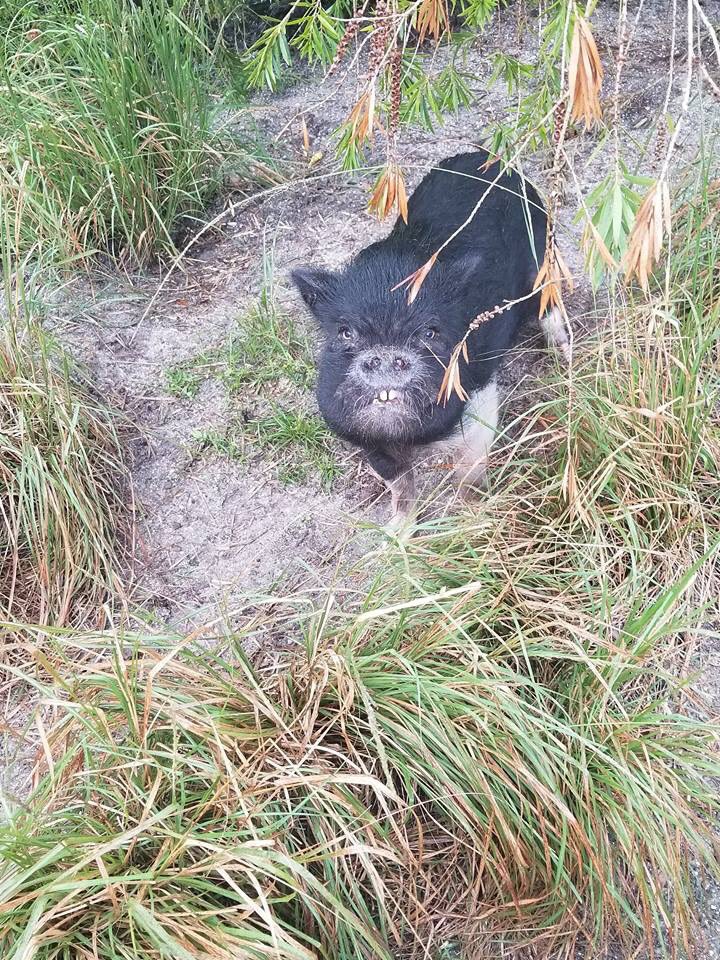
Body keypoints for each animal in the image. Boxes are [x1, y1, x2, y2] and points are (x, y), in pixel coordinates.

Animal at [292, 149, 568, 530]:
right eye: (346, 332)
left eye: (429, 331)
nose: (385, 353)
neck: (412, 439)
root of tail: (489, 157)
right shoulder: (366, 440)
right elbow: (399, 484)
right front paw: (393, 535)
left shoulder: (478, 393)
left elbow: (469, 470)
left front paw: (470, 518)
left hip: (543, 254)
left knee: (551, 306)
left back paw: (566, 360)